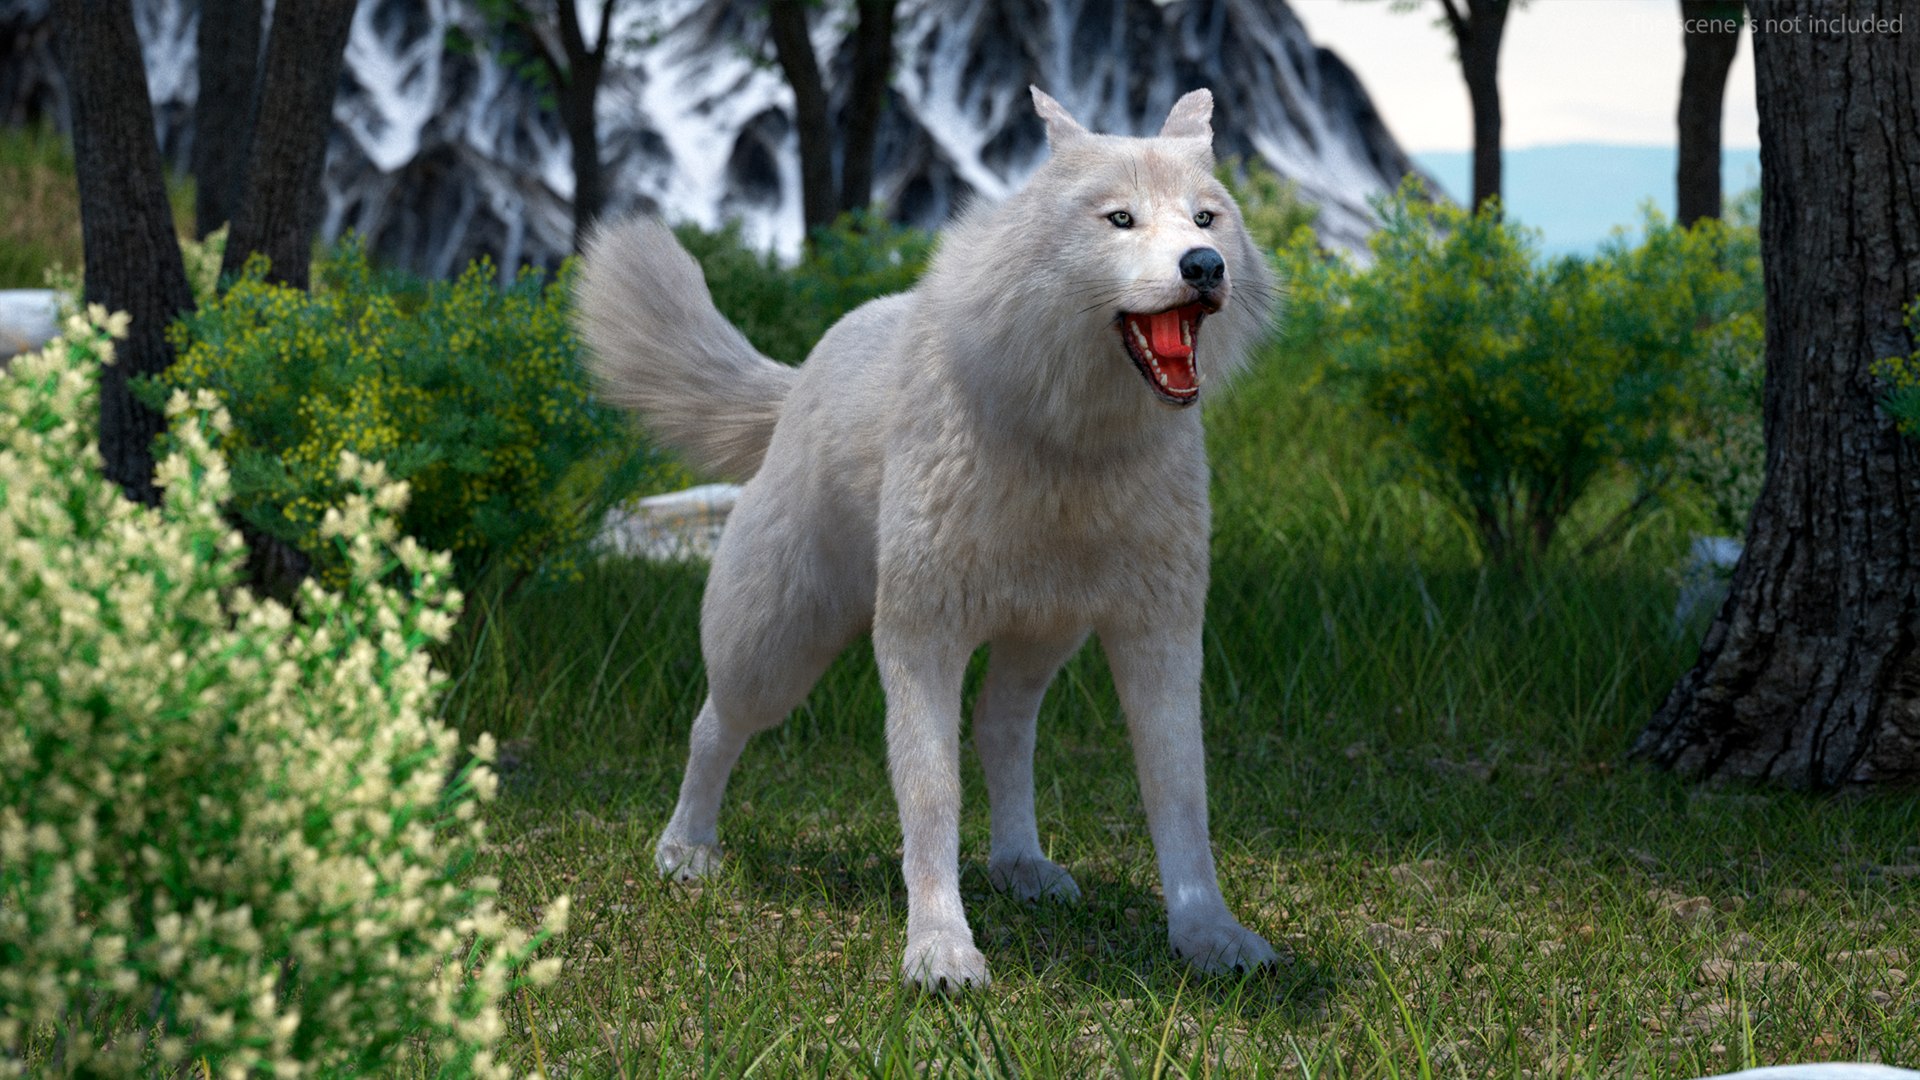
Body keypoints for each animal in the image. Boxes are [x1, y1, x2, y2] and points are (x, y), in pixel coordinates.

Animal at [576, 87, 1278, 991]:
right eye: (1120, 219)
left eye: (1206, 217)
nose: (1203, 266)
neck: (1067, 446)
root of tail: (799, 378)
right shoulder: (919, 637)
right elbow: (932, 796)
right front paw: (941, 949)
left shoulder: (1160, 635)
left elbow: (1181, 795)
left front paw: (1209, 936)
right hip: (776, 650)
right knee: (712, 726)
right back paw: (686, 851)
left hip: (1039, 641)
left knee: (1001, 733)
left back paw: (1021, 866)